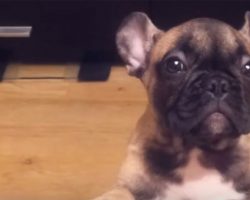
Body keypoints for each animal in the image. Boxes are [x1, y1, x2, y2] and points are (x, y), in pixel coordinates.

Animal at [93, 11, 250, 200]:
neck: (198, 149)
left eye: (248, 67)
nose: (218, 83)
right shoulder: (126, 186)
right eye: (174, 65)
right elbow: (116, 194)